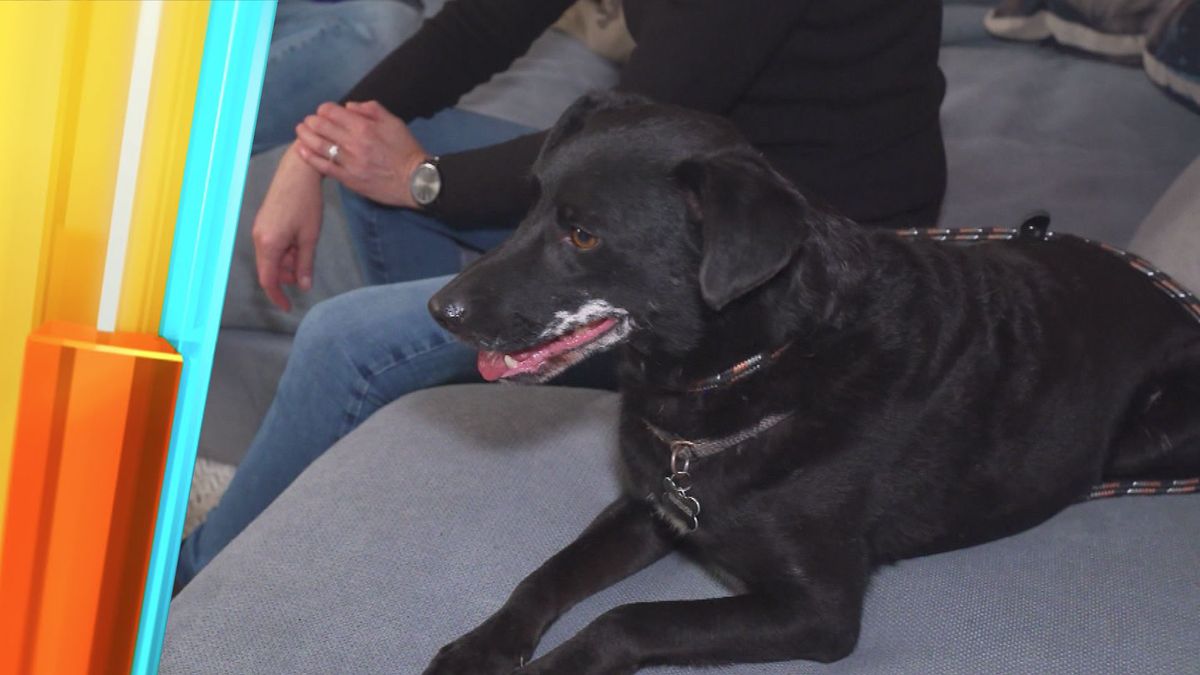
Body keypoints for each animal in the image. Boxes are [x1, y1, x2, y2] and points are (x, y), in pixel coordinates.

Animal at [422, 91, 1200, 667]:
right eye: (528, 205)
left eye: (583, 234)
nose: (440, 310)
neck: (752, 365)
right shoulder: (650, 505)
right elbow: (547, 573)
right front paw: (478, 648)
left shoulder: (818, 611)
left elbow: (630, 619)